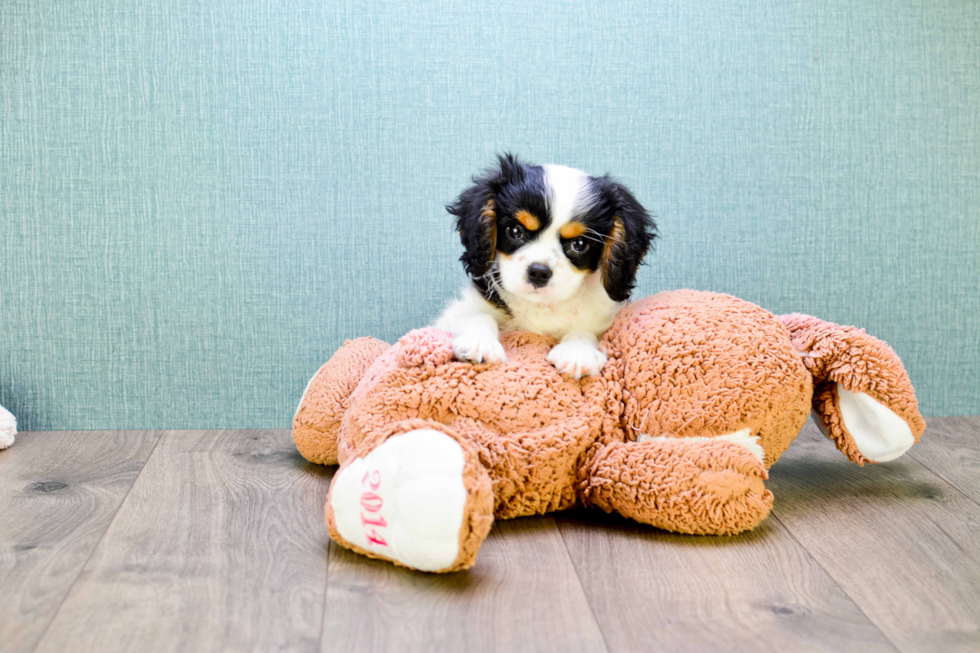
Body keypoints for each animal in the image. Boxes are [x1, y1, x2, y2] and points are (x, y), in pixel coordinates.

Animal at [438, 154, 660, 376]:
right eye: (516, 231)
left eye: (579, 244)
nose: (538, 272)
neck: (541, 305)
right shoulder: (458, 313)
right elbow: (479, 317)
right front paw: (479, 342)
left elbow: (584, 330)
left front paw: (577, 351)